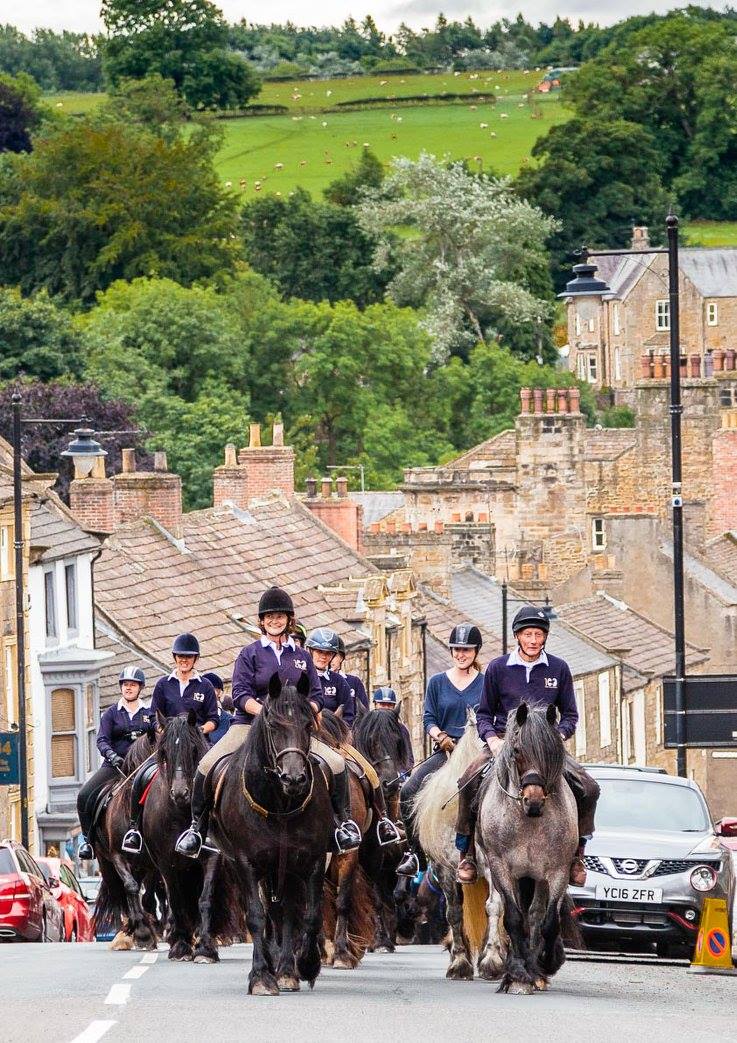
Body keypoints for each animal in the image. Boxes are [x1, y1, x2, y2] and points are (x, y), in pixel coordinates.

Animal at [210, 671, 331, 997]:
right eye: (273, 726)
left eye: (307, 725)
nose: (294, 778)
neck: (278, 804)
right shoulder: (246, 863)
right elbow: (255, 915)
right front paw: (261, 977)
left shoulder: (312, 860)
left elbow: (310, 914)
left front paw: (307, 964)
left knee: (286, 912)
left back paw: (288, 970)